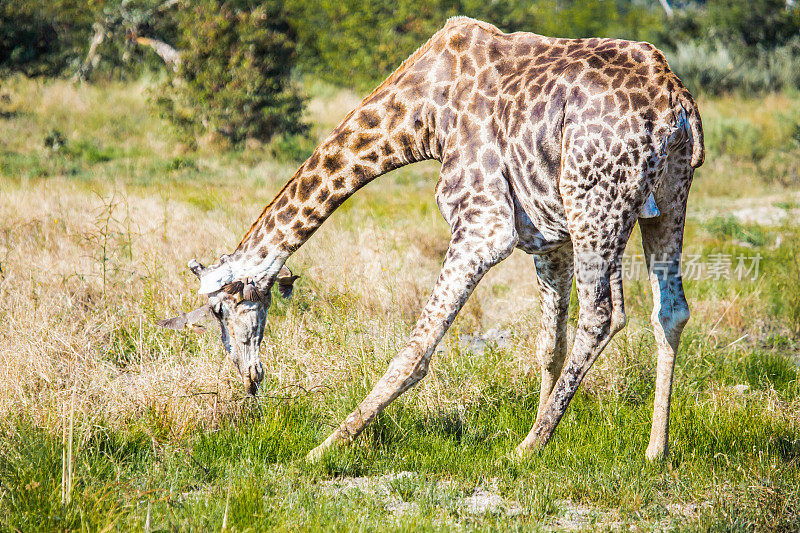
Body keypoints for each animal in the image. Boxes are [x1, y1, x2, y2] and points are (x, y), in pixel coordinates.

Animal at [159, 16, 704, 462]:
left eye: (220, 311)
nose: (249, 379)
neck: (423, 113)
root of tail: (676, 101)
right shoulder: (550, 235)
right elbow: (549, 342)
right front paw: (548, 427)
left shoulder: (485, 223)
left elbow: (418, 346)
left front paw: (325, 448)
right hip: (662, 198)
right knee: (669, 309)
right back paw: (654, 450)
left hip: (597, 200)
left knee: (602, 314)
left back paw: (524, 451)